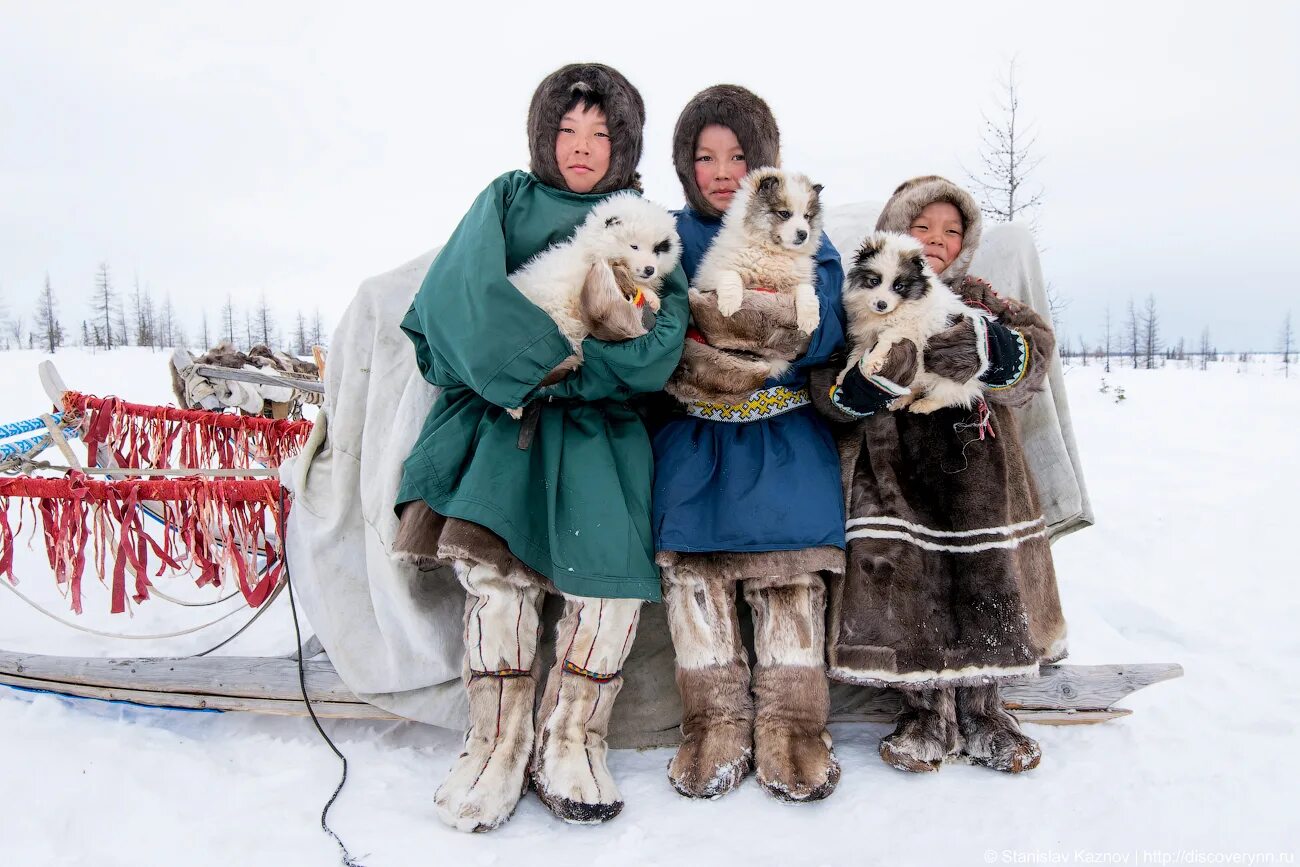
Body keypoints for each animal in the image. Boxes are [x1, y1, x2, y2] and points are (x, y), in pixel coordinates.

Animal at [691, 167, 821, 337]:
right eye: (785, 214)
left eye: (807, 216)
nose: (803, 234)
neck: (772, 251)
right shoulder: (709, 275)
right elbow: (730, 275)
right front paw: (729, 304)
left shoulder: (796, 283)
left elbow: (807, 290)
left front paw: (809, 320)